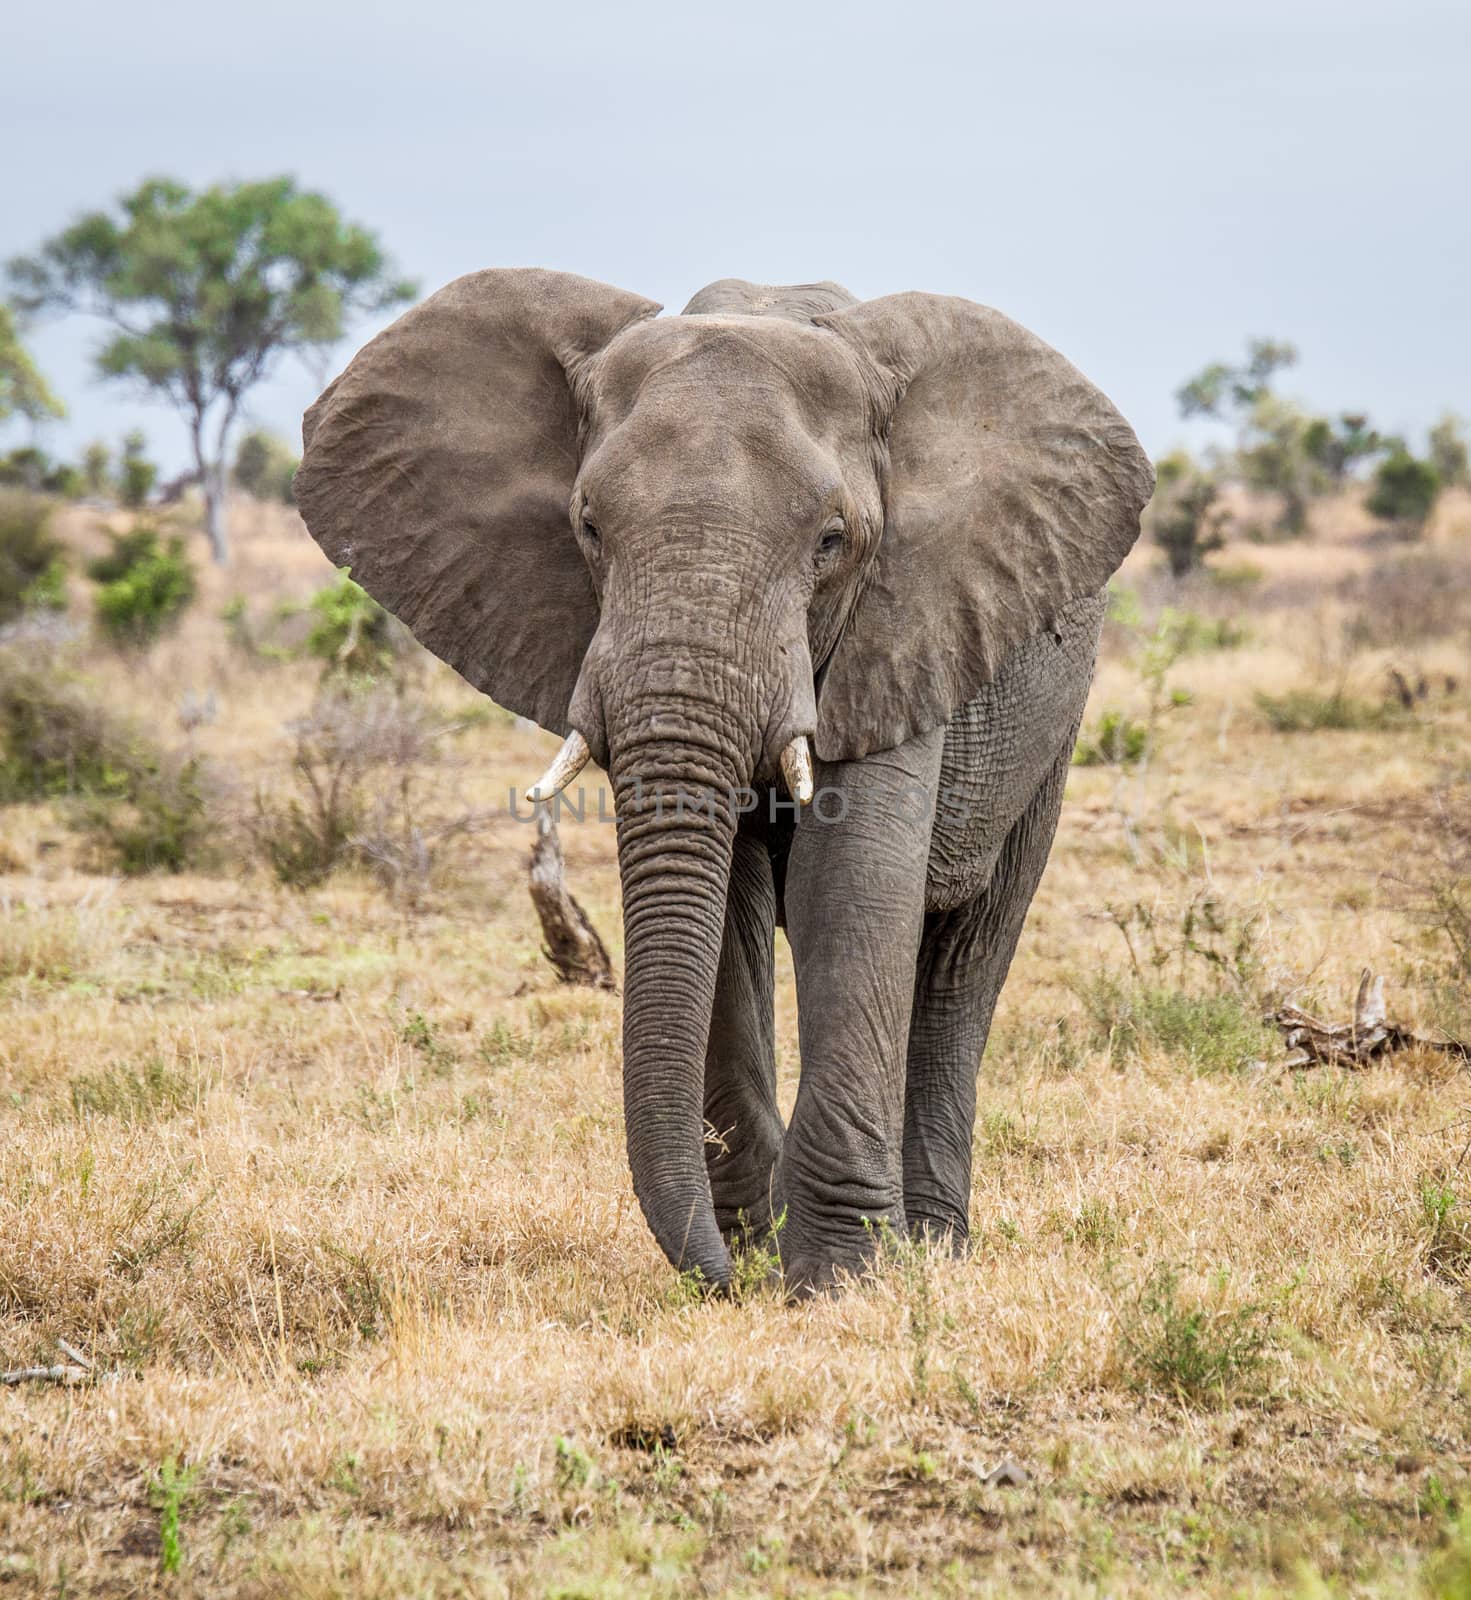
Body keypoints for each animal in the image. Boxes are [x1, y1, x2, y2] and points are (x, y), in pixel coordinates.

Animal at [296, 268, 1152, 1292]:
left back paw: (934, 1248)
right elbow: (728, 912)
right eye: (587, 526)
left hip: (1046, 726)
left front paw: (838, 1282)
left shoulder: (904, 625)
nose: (726, 1277)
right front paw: (760, 1253)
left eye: (832, 541)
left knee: (962, 955)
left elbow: (849, 889)